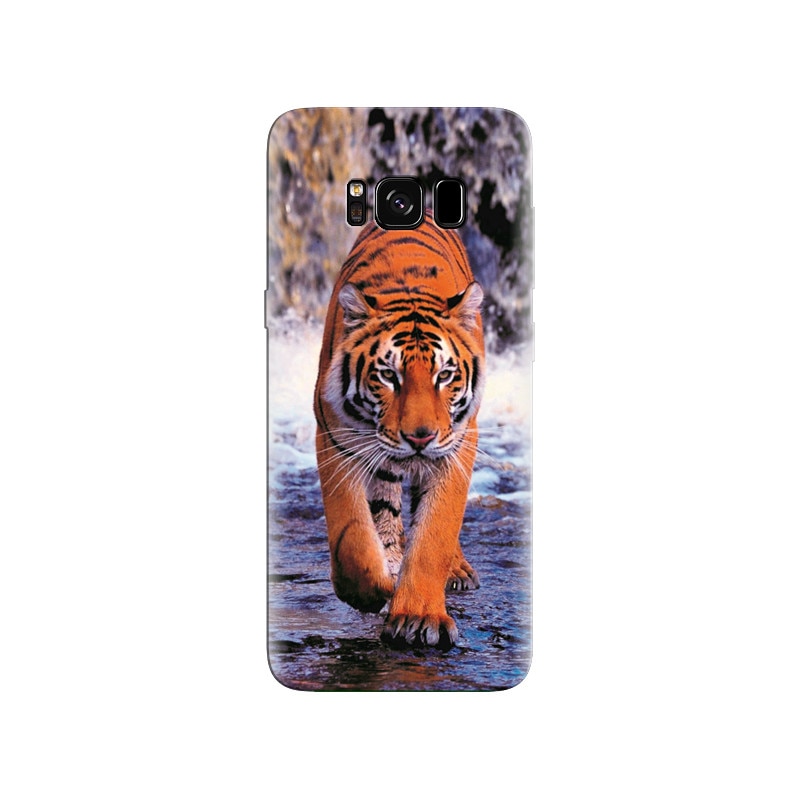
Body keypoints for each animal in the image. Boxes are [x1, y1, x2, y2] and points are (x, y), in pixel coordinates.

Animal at [313, 209, 485, 650]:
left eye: (445, 375)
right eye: (388, 376)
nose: (420, 437)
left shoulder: (457, 444)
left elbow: (436, 531)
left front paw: (418, 616)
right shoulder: (336, 437)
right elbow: (352, 533)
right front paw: (370, 590)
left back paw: (456, 571)